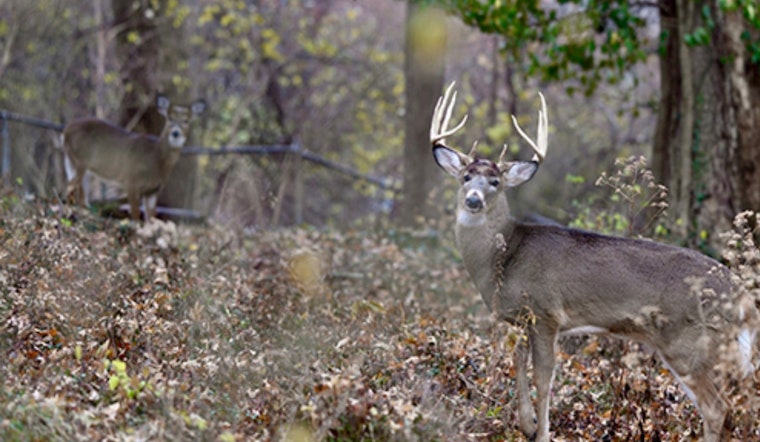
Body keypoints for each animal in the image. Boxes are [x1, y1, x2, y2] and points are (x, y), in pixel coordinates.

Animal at [62, 95, 206, 221]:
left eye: (186, 120)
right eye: (169, 118)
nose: (175, 133)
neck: (156, 158)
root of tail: (65, 131)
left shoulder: (153, 191)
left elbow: (151, 217)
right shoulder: (131, 181)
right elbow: (136, 215)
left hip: (77, 164)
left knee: (80, 195)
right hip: (79, 161)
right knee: (69, 187)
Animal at [430, 82, 757, 442]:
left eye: (495, 182)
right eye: (466, 177)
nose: (474, 200)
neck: (505, 257)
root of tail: (740, 294)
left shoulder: (546, 313)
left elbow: (544, 376)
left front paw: (542, 433)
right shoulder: (522, 319)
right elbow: (517, 360)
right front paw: (527, 424)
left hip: (689, 341)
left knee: (717, 408)